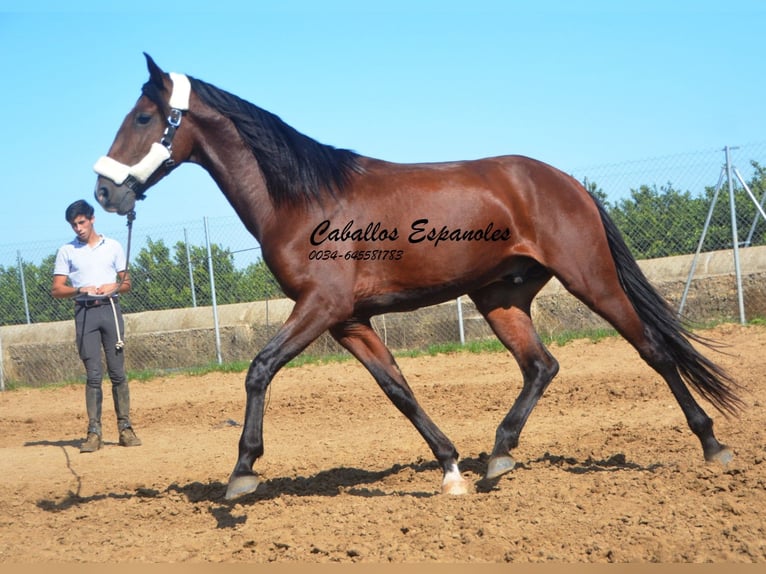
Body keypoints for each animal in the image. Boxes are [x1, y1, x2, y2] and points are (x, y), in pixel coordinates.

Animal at [93, 55, 740, 504]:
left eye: (144, 117)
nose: (104, 191)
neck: (304, 199)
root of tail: (565, 181)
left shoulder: (320, 306)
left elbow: (259, 369)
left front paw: (242, 472)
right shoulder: (349, 320)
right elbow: (398, 390)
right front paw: (451, 469)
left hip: (592, 279)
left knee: (654, 350)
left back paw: (713, 444)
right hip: (499, 297)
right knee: (541, 366)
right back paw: (497, 457)